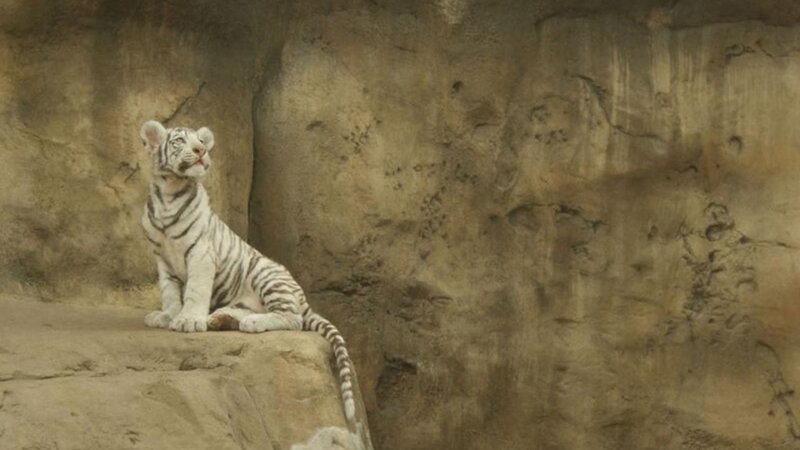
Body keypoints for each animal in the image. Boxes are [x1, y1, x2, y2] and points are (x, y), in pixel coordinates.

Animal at [138, 120, 356, 421]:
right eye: (180, 140)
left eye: (200, 141)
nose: (201, 150)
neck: (170, 192)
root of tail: (303, 299)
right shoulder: (163, 258)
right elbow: (170, 291)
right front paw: (168, 315)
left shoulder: (201, 253)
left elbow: (195, 290)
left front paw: (188, 320)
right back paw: (220, 319)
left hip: (266, 275)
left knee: (292, 319)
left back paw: (250, 323)